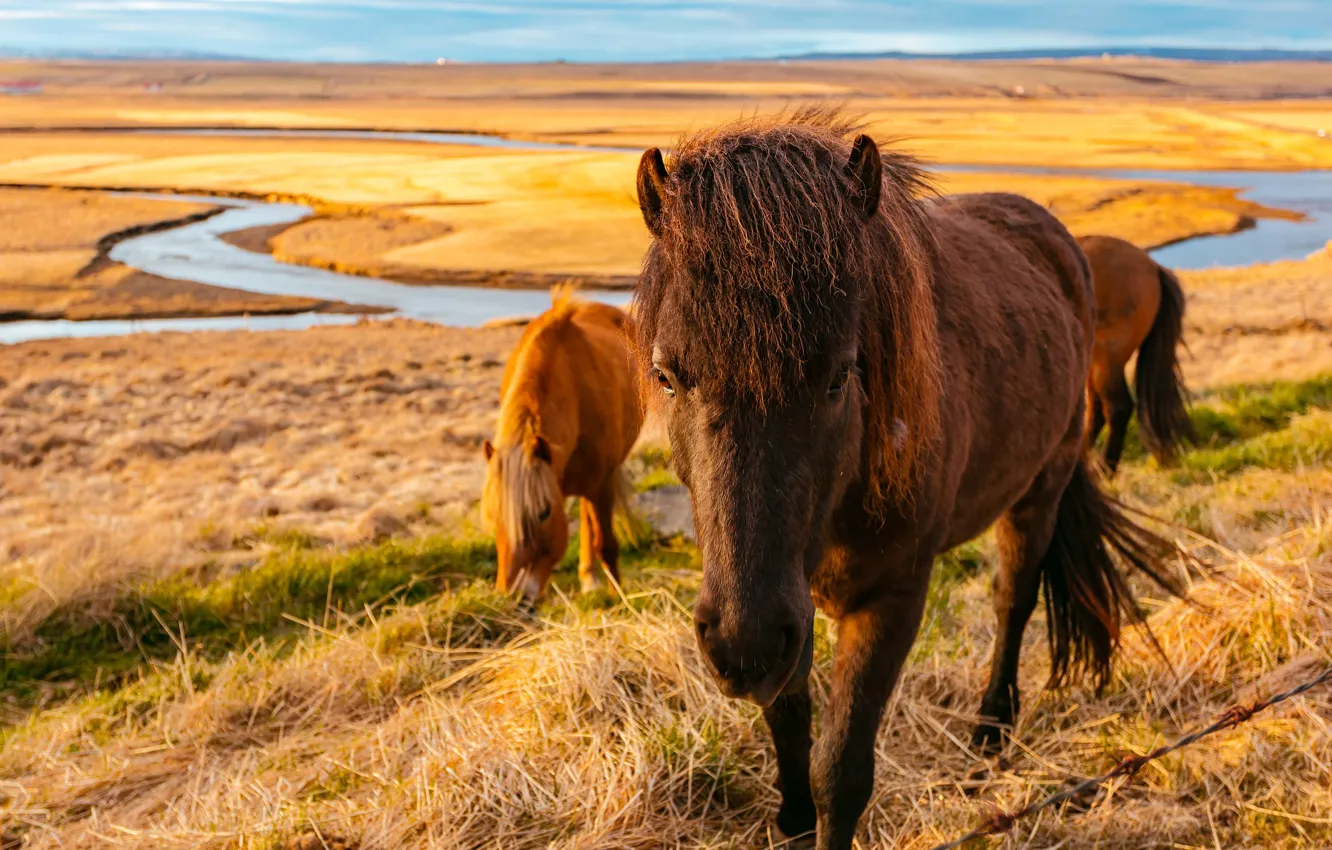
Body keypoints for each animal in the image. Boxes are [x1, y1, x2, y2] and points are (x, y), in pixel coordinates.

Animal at [482, 286, 643, 600]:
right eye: (494, 515)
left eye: (544, 513)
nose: (514, 597)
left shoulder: (601, 484)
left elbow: (607, 544)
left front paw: (620, 598)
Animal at [632, 108, 1181, 849]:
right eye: (666, 375)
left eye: (839, 376)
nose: (741, 647)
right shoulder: (786, 609)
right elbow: (789, 723)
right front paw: (792, 820)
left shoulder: (888, 600)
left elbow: (842, 770)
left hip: (1040, 489)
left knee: (1013, 600)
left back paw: (991, 728)